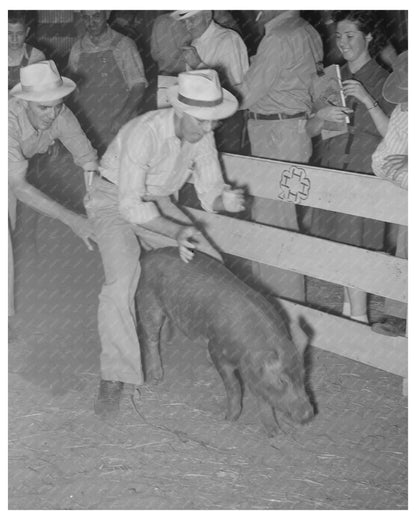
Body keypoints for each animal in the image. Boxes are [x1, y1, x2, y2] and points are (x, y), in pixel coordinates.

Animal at [135, 247, 314, 434]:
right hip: (148, 301)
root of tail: (148, 254)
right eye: (282, 380)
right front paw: (229, 419)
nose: (309, 414)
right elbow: (234, 386)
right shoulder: (216, 349)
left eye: (303, 375)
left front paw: (275, 432)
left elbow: (263, 397)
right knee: (151, 338)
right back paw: (156, 378)